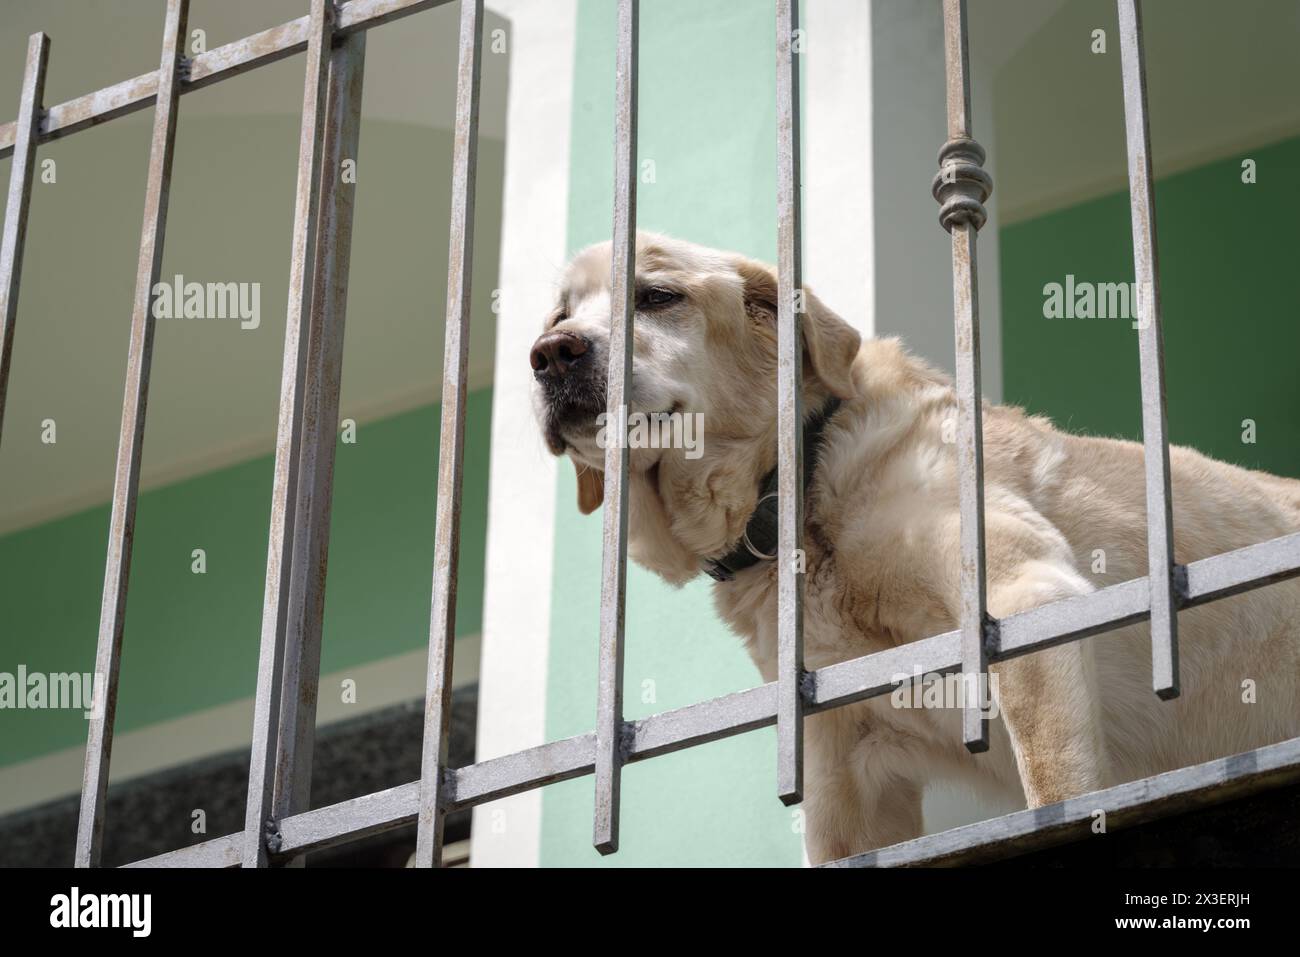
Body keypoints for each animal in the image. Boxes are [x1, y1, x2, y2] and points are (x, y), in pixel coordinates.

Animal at [527, 234, 1300, 868]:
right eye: (560, 314)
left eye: (657, 296)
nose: (551, 355)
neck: (800, 486)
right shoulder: (842, 775)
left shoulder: (1031, 599)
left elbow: (1059, 790)